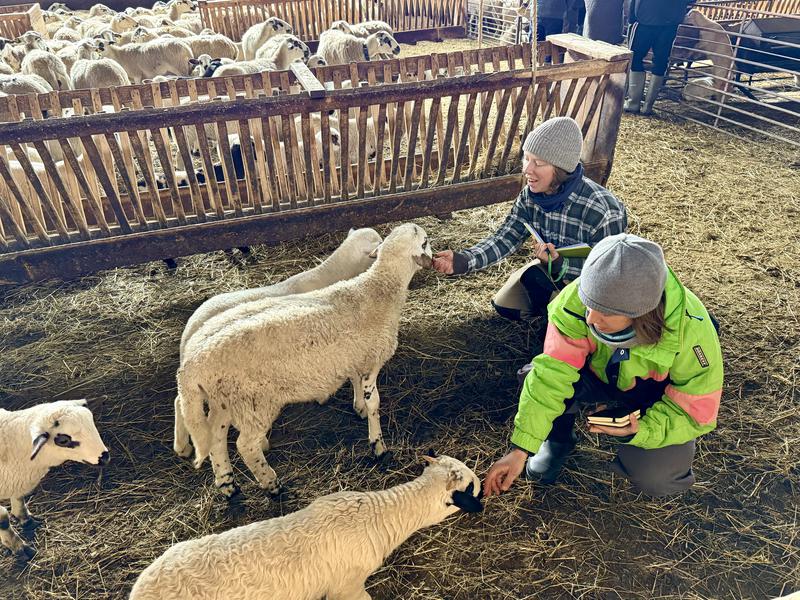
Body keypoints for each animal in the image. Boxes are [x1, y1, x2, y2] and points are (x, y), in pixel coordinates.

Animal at [0, 399, 110, 561]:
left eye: (92, 422)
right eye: (63, 440)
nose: (105, 457)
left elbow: (19, 498)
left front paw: (26, 520)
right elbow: (3, 519)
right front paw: (19, 548)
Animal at [177, 223, 432, 498]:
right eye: (425, 241)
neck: (378, 289)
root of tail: (192, 362)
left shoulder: (353, 356)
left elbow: (354, 384)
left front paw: (359, 410)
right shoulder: (370, 363)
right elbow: (374, 402)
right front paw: (378, 444)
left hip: (225, 400)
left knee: (215, 436)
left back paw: (227, 483)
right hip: (254, 402)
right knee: (244, 444)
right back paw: (271, 482)